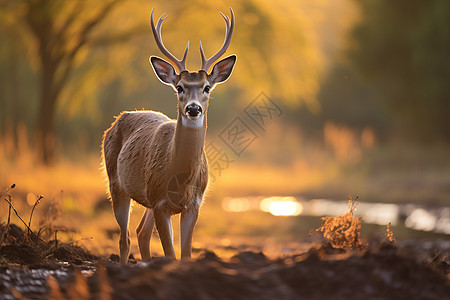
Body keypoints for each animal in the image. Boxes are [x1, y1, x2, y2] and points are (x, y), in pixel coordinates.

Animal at [101, 8, 236, 264]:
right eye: (179, 87)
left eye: (206, 87)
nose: (193, 109)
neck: (179, 180)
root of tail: (117, 120)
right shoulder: (160, 202)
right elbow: (171, 255)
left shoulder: (193, 204)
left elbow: (185, 255)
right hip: (116, 183)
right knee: (125, 238)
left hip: (145, 199)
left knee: (141, 233)